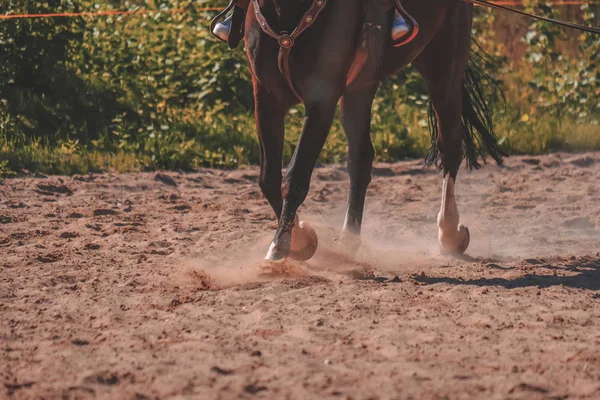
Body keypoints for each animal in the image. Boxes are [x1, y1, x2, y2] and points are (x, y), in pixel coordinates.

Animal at [241, 0, 504, 262]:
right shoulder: (266, 96)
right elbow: (268, 178)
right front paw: (300, 237)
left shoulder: (322, 98)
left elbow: (296, 175)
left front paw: (283, 244)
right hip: (361, 86)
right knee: (361, 159)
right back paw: (348, 241)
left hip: (443, 70)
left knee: (450, 146)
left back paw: (449, 233)